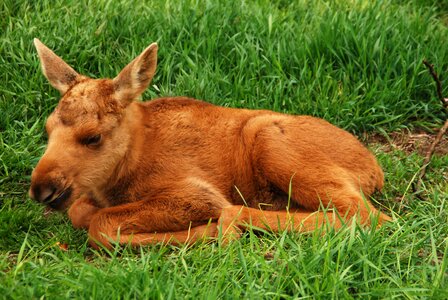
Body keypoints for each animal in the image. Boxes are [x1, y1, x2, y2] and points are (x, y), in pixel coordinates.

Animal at [29, 38, 390, 248]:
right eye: (47, 129)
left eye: (93, 137)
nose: (41, 189)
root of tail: (375, 171)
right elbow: (80, 211)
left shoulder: (194, 193)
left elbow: (100, 225)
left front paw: (203, 231)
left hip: (269, 139)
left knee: (369, 217)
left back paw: (231, 223)